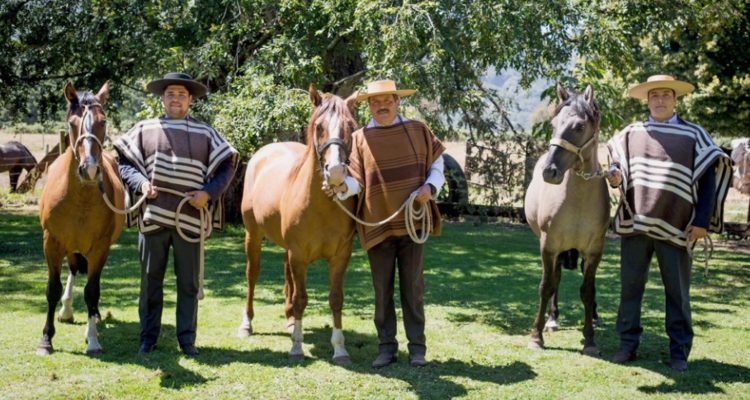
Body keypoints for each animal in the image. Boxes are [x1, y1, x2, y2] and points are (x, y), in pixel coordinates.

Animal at [36, 82, 126, 356]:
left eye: (103, 122)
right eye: (72, 123)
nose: (90, 170)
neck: (80, 198)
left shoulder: (100, 248)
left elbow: (92, 292)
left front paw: (93, 340)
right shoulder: (51, 243)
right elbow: (52, 290)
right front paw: (46, 340)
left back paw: (92, 317)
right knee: (74, 270)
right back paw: (66, 311)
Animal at [239, 85, 360, 366]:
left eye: (350, 126)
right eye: (319, 126)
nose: (335, 172)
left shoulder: (341, 256)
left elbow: (335, 299)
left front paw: (340, 348)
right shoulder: (298, 255)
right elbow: (301, 298)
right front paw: (296, 346)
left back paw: (290, 318)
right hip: (253, 235)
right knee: (252, 275)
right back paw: (247, 324)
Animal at [524, 83, 612, 356]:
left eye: (580, 127)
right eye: (553, 125)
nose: (549, 172)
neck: (577, 199)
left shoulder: (595, 250)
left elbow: (588, 290)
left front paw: (590, 339)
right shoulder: (549, 246)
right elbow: (546, 286)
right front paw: (536, 336)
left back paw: (593, 316)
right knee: (557, 278)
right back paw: (552, 319)